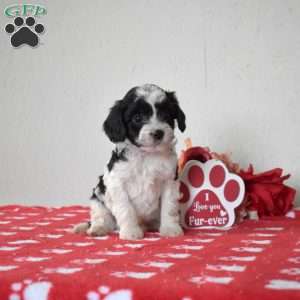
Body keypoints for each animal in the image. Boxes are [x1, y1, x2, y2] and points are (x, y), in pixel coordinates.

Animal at [73, 83, 185, 240]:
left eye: (166, 115)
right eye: (137, 118)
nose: (158, 133)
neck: (146, 155)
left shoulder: (169, 180)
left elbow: (169, 206)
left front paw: (170, 228)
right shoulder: (117, 183)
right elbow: (125, 208)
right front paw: (131, 231)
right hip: (98, 198)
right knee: (101, 218)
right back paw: (97, 228)